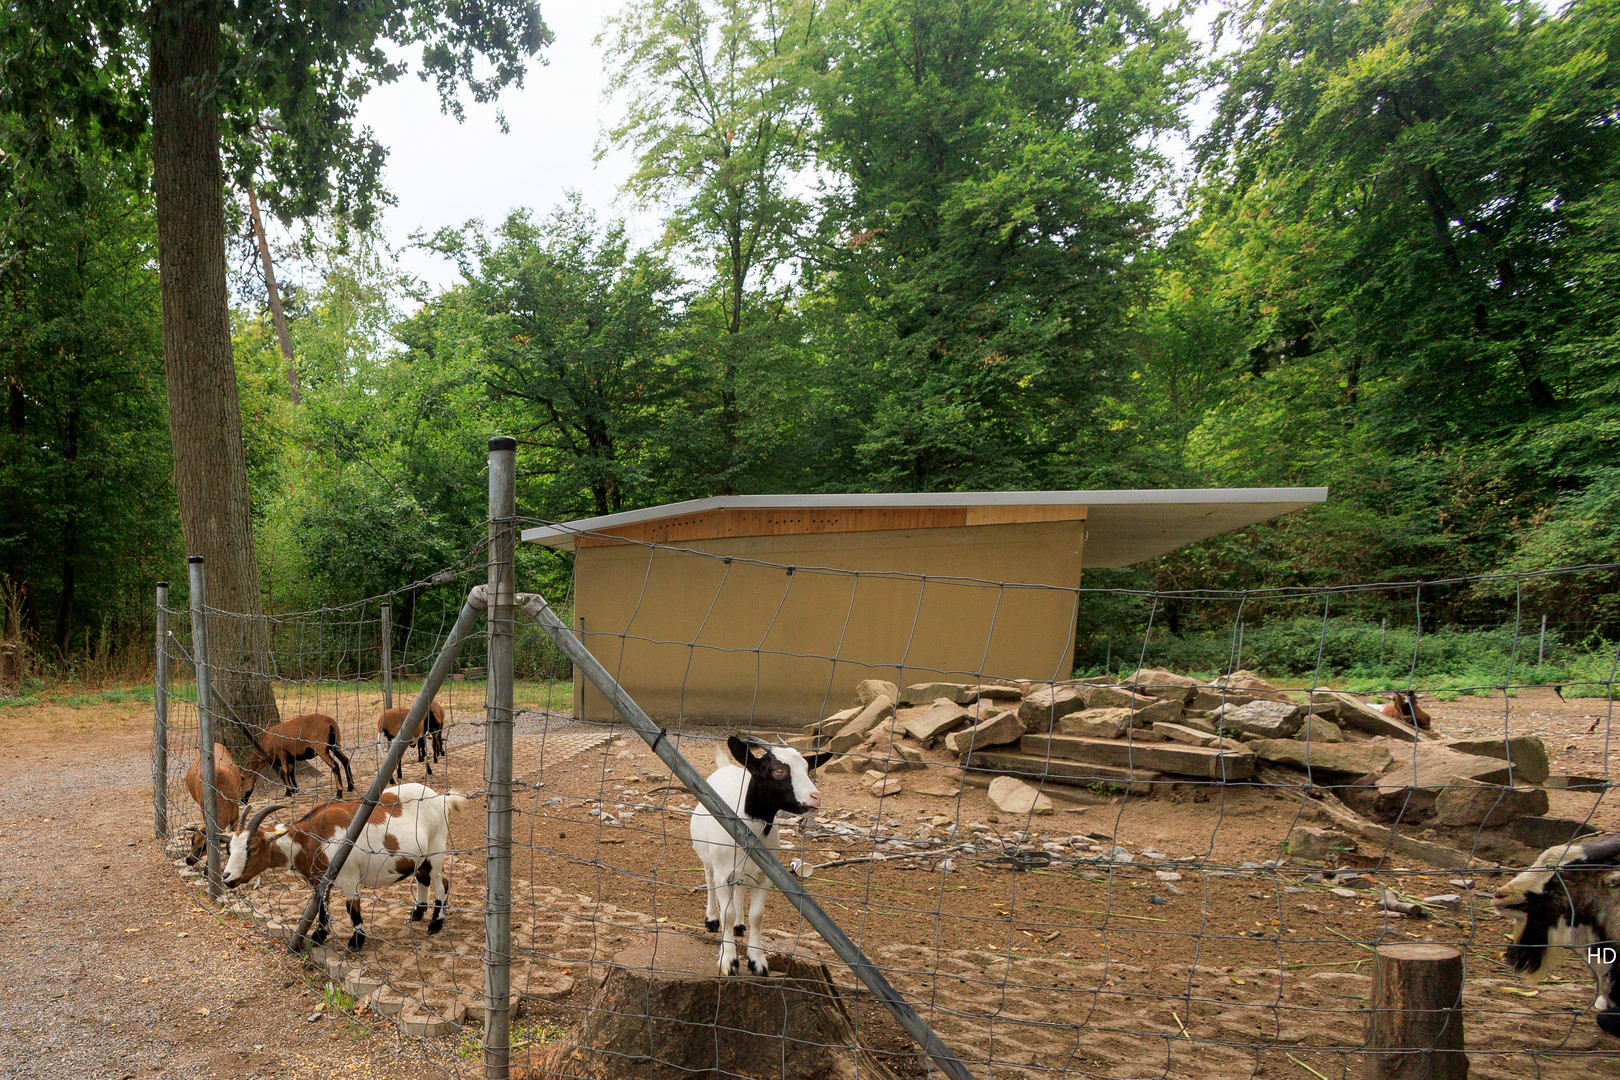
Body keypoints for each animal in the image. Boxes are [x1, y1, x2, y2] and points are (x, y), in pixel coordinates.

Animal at [220, 780, 469, 952]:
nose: (227, 877)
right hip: (419, 856)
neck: (311, 839)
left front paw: (356, 941)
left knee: (442, 882)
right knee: (423, 878)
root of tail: (441, 799)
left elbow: (352, 908)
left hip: (436, 848)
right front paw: (319, 936)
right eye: (229, 849)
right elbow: (321, 905)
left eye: (252, 848)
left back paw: (436, 923)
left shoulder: (348, 877)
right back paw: (417, 912)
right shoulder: (320, 880)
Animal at [686, 735, 829, 977]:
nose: (815, 798)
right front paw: (728, 960)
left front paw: (757, 961)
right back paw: (711, 919)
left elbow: (757, 916)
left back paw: (739, 925)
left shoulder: (765, 875)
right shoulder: (724, 873)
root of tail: (726, 767)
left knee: (740, 889)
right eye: (778, 770)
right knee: (709, 880)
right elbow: (726, 913)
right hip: (709, 858)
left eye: (807, 768)